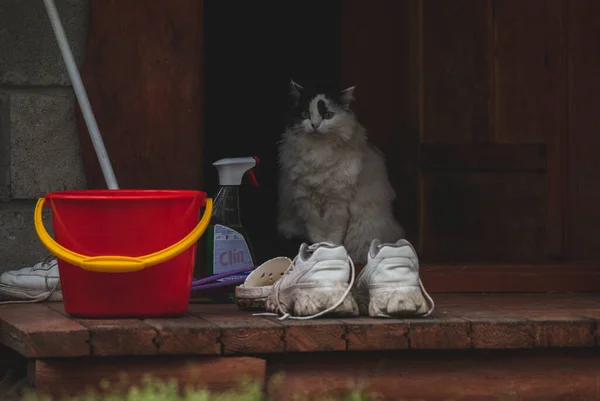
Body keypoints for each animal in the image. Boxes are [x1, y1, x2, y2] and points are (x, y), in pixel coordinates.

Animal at [276, 79, 404, 264]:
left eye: (328, 115)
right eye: (306, 114)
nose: (315, 125)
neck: (319, 154)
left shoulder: (339, 204)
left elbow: (334, 237)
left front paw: (331, 253)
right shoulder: (307, 204)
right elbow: (316, 235)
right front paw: (318, 254)